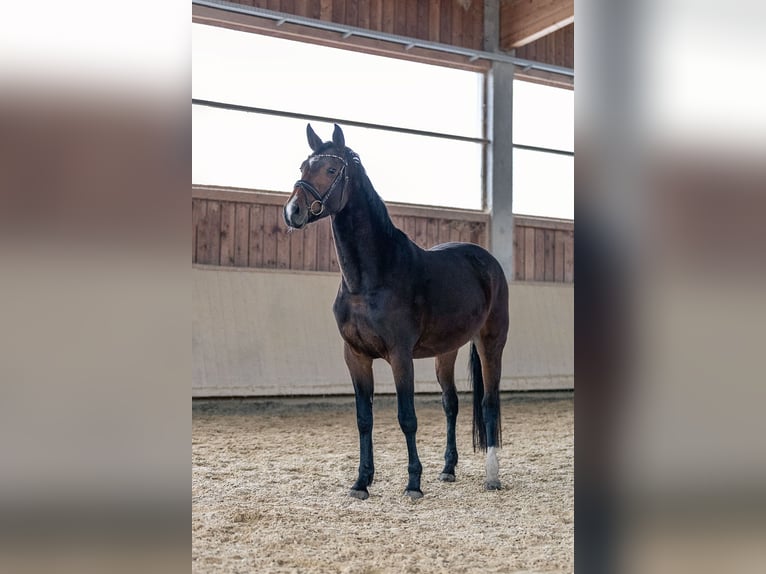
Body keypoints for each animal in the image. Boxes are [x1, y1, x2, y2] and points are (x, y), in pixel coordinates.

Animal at [282, 125, 510, 500]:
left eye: (331, 169)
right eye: (303, 166)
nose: (293, 211)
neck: (369, 280)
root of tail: (486, 260)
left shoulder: (400, 355)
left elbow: (407, 418)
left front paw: (413, 483)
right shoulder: (356, 356)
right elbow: (364, 419)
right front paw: (361, 482)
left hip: (491, 342)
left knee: (489, 404)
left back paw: (492, 476)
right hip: (446, 351)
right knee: (451, 404)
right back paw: (448, 469)